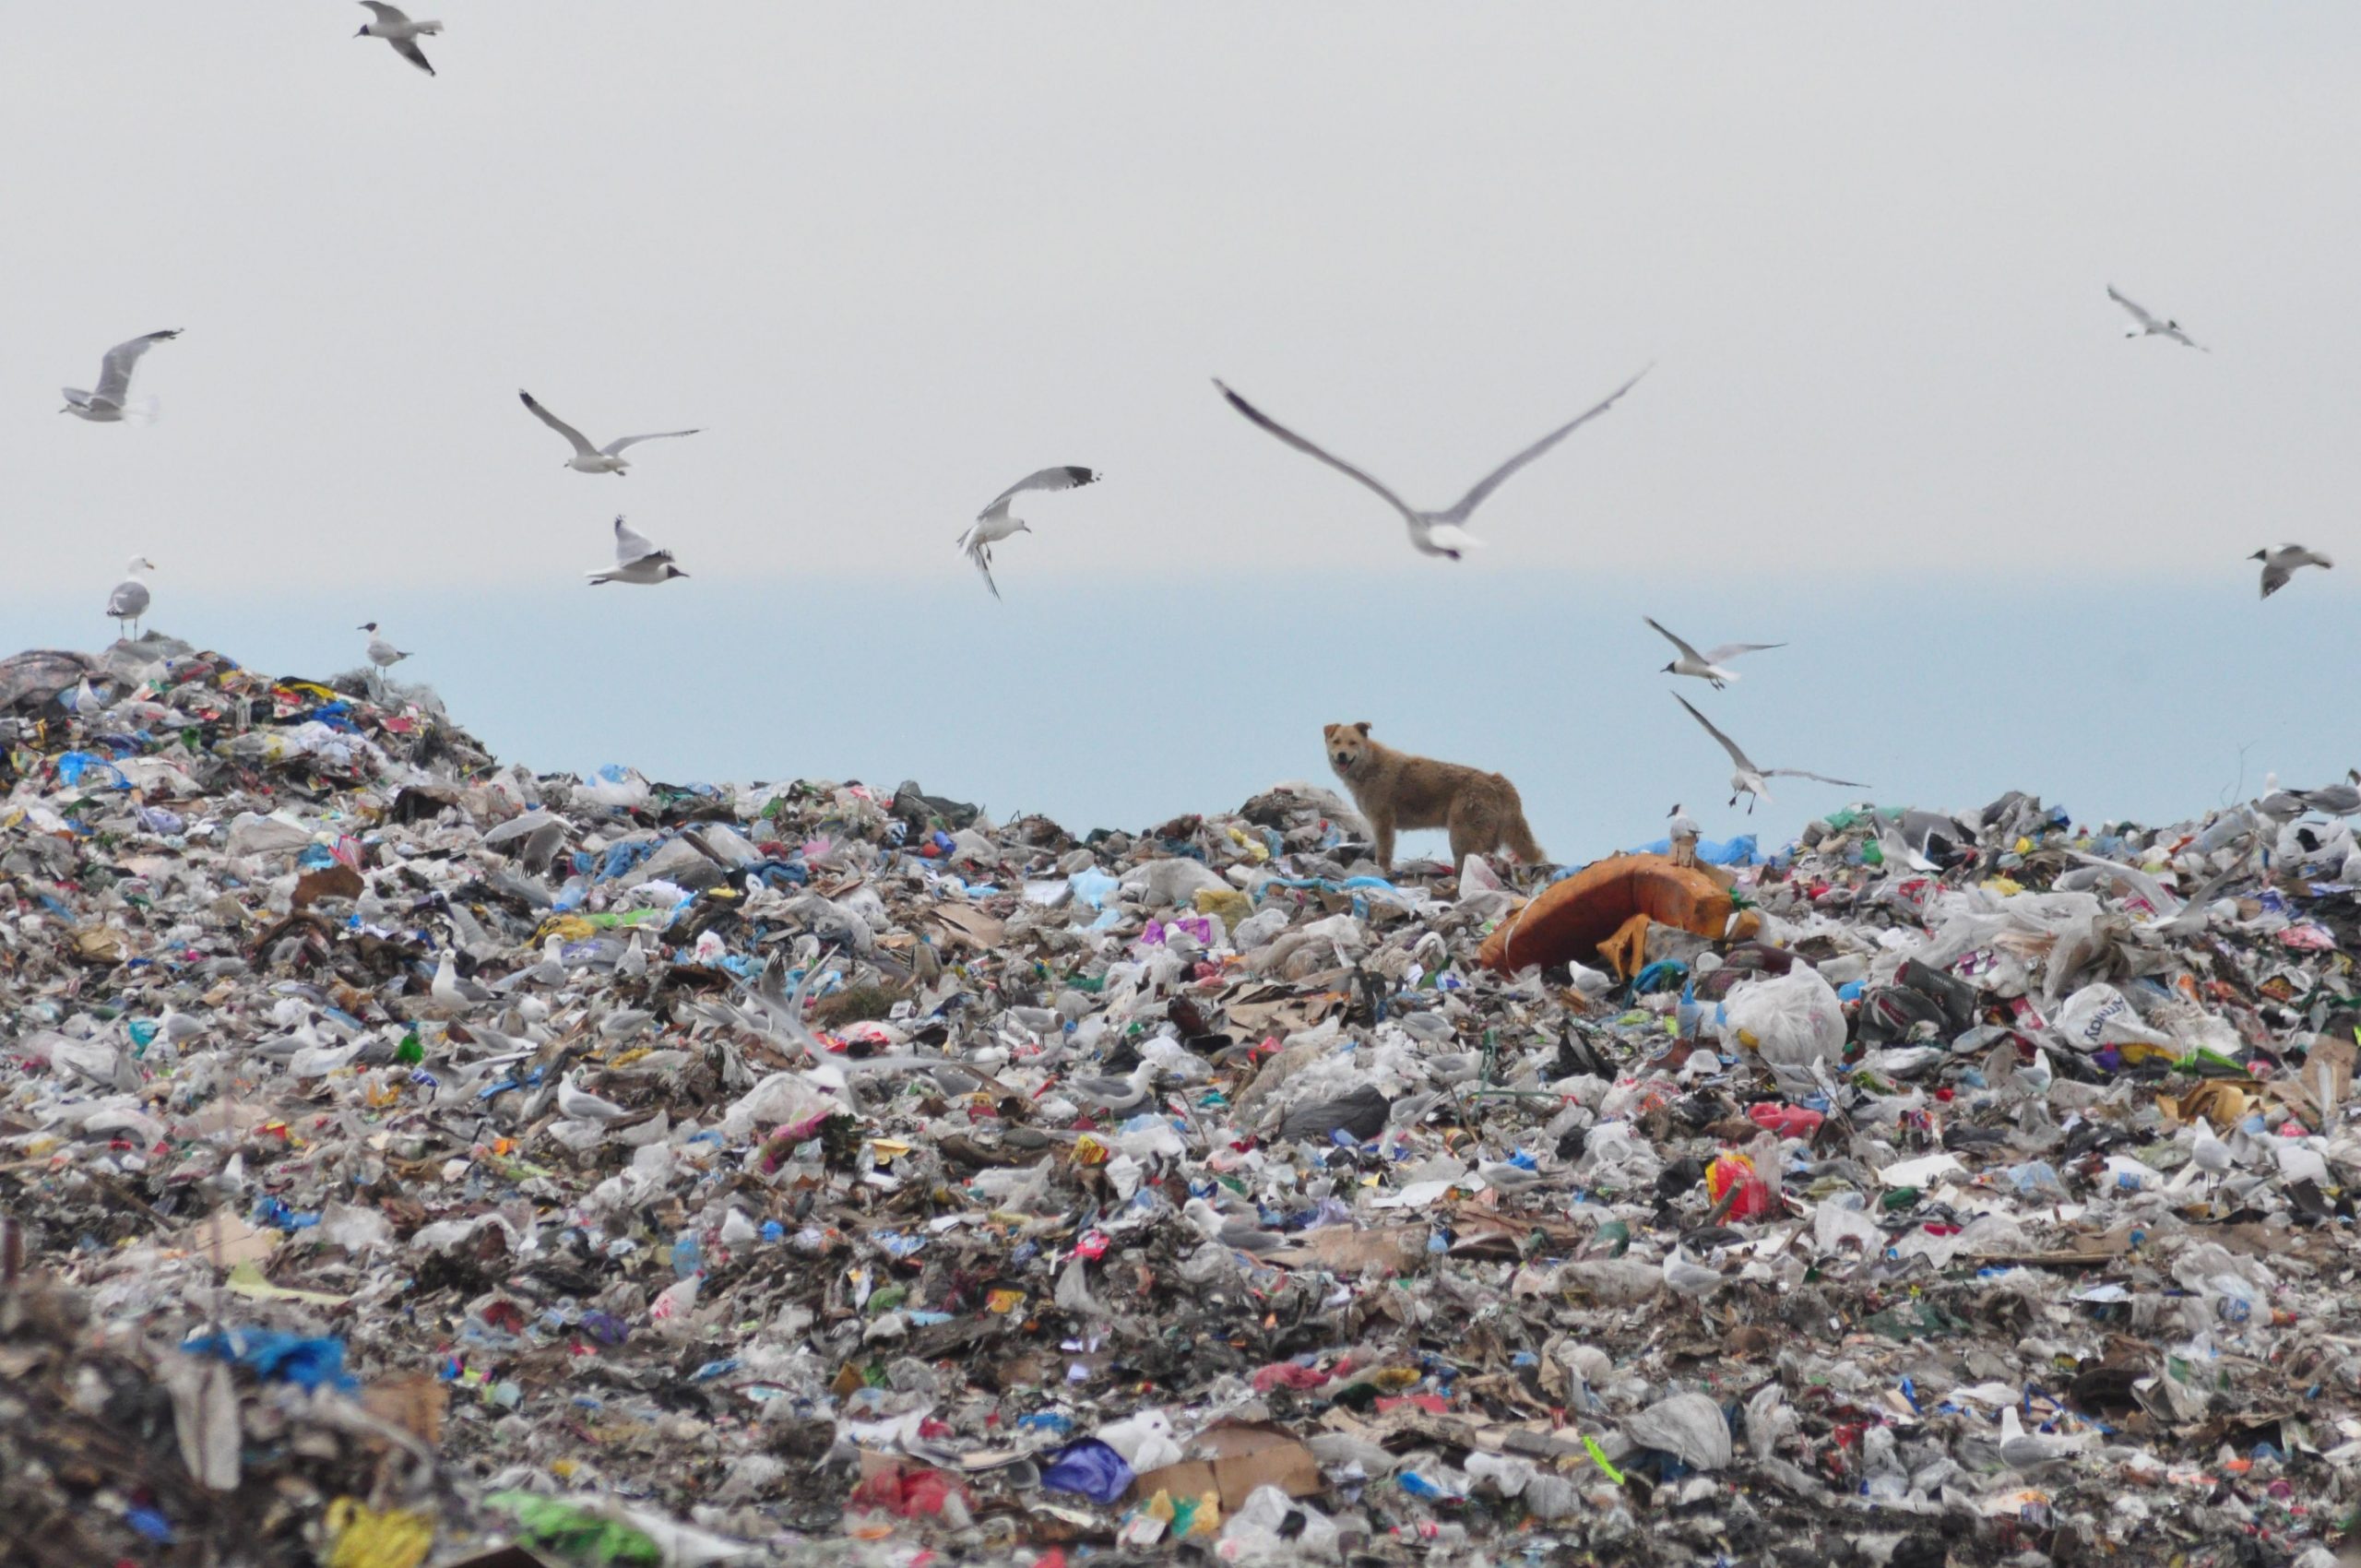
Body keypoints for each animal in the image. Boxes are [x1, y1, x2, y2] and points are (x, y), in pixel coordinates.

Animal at [1322, 718, 1539, 869]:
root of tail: (1494, 779)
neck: (1369, 767)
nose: (1342, 755)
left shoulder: (1383, 821)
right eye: (1336, 741)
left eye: (1352, 742)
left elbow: (1383, 854)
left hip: (1462, 837)